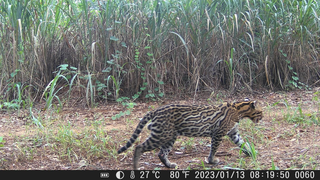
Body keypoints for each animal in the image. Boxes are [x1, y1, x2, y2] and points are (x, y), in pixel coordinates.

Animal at [117, 97, 262, 169]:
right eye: (260, 112)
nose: (263, 116)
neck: (239, 109)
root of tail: (156, 110)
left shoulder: (233, 133)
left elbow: (242, 143)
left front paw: (251, 153)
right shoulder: (218, 133)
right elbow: (214, 149)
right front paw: (212, 160)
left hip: (169, 136)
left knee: (161, 153)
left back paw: (170, 165)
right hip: (161, 135)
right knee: (139, 147)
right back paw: (136, 166)